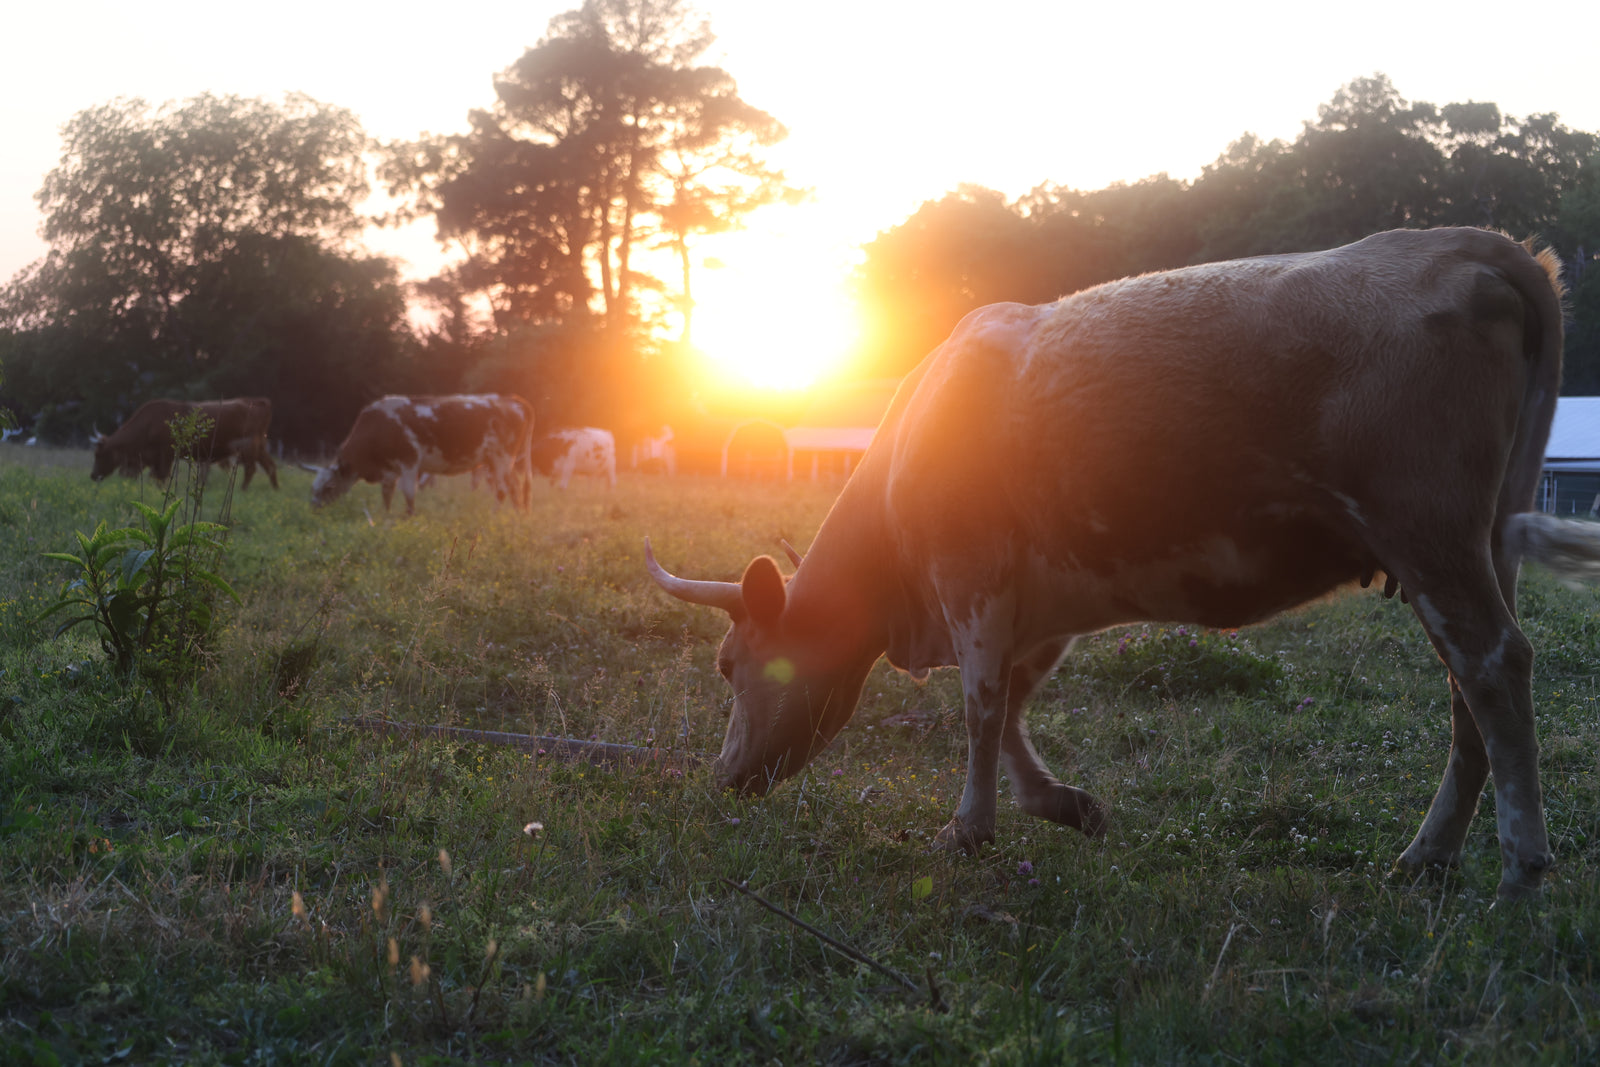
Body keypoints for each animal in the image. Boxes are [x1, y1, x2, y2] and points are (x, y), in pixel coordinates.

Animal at [90, 397, 278, 489]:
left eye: (98, 454)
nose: (93, 476)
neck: (149, 424)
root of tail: (258, 401)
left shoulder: (166, 454)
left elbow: (161, 476)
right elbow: (155, 476)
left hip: (248, 447)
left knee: (251, 468)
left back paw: (243, 490)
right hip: (260, 446)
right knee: (270, 465)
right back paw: (275, 488)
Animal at [304, 394, 534, 516]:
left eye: (329, 487)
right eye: (313, 487)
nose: (313, 509)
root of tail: (511, 399)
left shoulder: (409, 464)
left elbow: (409, 495)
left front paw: (409, 518)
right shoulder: (389, 471)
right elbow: (387, 494)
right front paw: (386, 517)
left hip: (502, 458)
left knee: (503, 489)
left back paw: (494, 515)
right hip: (498, 462)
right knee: (514, 486)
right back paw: (517, 515)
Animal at [646, 227, 1600, 901]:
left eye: (729, 663)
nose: (725, 777)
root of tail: (1462, 241)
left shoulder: (972, 577)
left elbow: (980, 707)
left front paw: (967, 829)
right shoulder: (1040, 604)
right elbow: (1013, 709)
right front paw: (1066, 806)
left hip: (1429, 531)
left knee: (1492, 665)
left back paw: (1517, 864)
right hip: (1481, 543)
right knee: (1469, 692)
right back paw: (1430, 856)